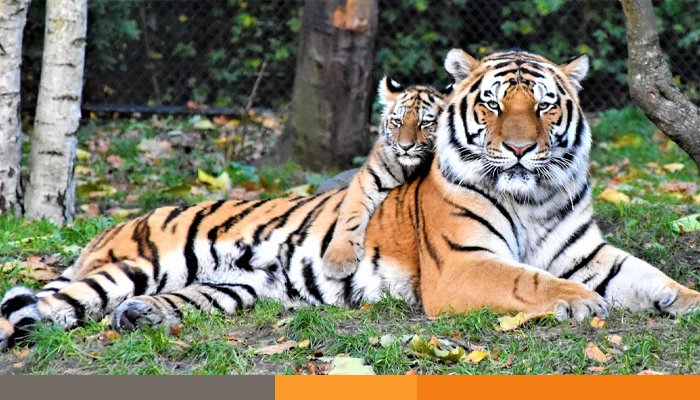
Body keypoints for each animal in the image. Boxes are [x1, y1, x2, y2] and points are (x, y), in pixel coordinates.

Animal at [322, 77, 451, 279]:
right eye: (397, 121)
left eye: (424, 123)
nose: (405, 147)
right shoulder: (367, 179)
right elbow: (350, 216)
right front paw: (338, 260)